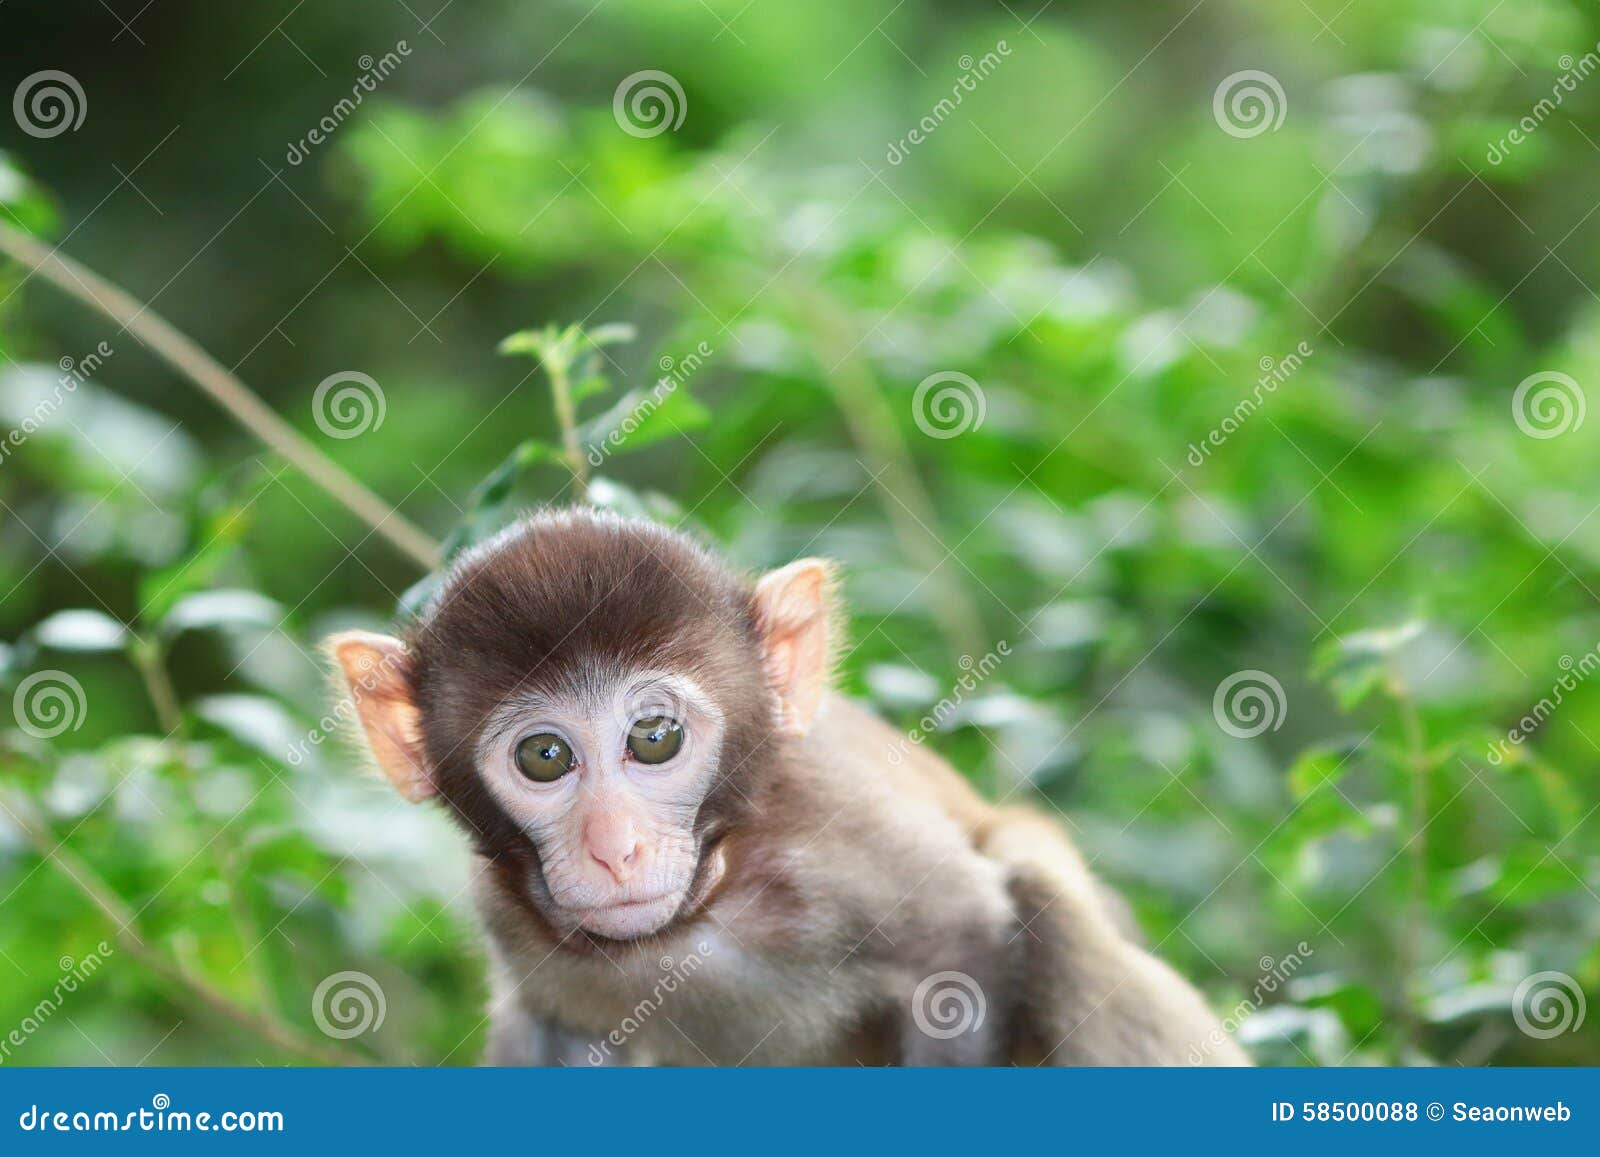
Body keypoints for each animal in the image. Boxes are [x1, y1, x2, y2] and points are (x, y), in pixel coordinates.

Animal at [331, 512, 1241, 1068]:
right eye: (545, 756)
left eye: (654, 738)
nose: (615, 848)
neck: (704, 906)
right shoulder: (510, 922)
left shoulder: (842, 832)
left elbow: (965, 947)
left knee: (1045, 897)